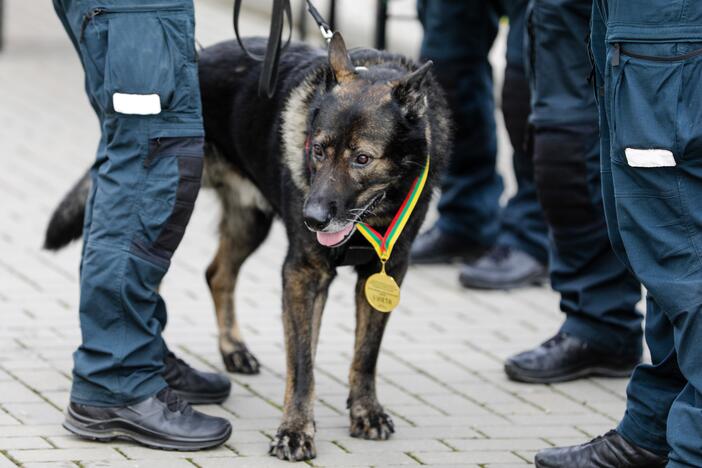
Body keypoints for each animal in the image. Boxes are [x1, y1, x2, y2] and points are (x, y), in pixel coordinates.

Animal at [45, 33, 452, 460]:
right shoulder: (302, 274)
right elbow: (303, 366)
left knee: (217, 274)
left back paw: (231, 349)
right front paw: (295, 430)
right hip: (167, 211)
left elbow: (366, 354)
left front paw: (366, 411)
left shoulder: (384, 273)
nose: (312, 218)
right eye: (318, 150)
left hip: (250, 222)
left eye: (362, 158)